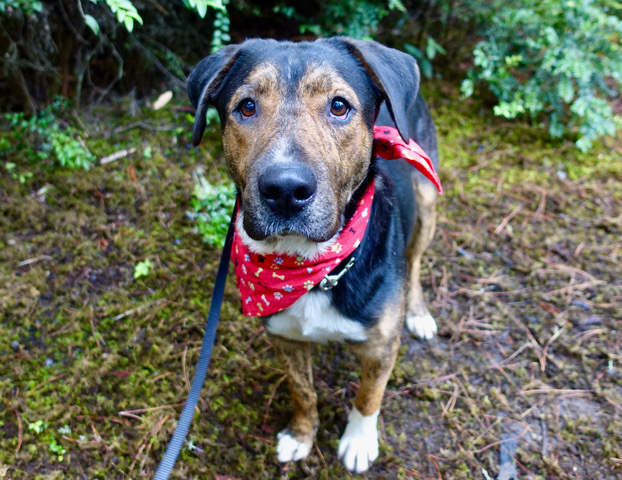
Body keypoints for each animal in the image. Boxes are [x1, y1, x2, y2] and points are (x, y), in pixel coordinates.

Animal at [188, 37, 442, 472]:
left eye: (339, 105)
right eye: (246, 106)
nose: (285, 190)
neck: (309, 266)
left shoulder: (381, 346)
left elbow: (368, 396)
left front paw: (358, 441)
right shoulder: (284, 338)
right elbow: (302, 391)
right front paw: (301, 435)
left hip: (427, 203)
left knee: (415, 261)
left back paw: (419, 312)